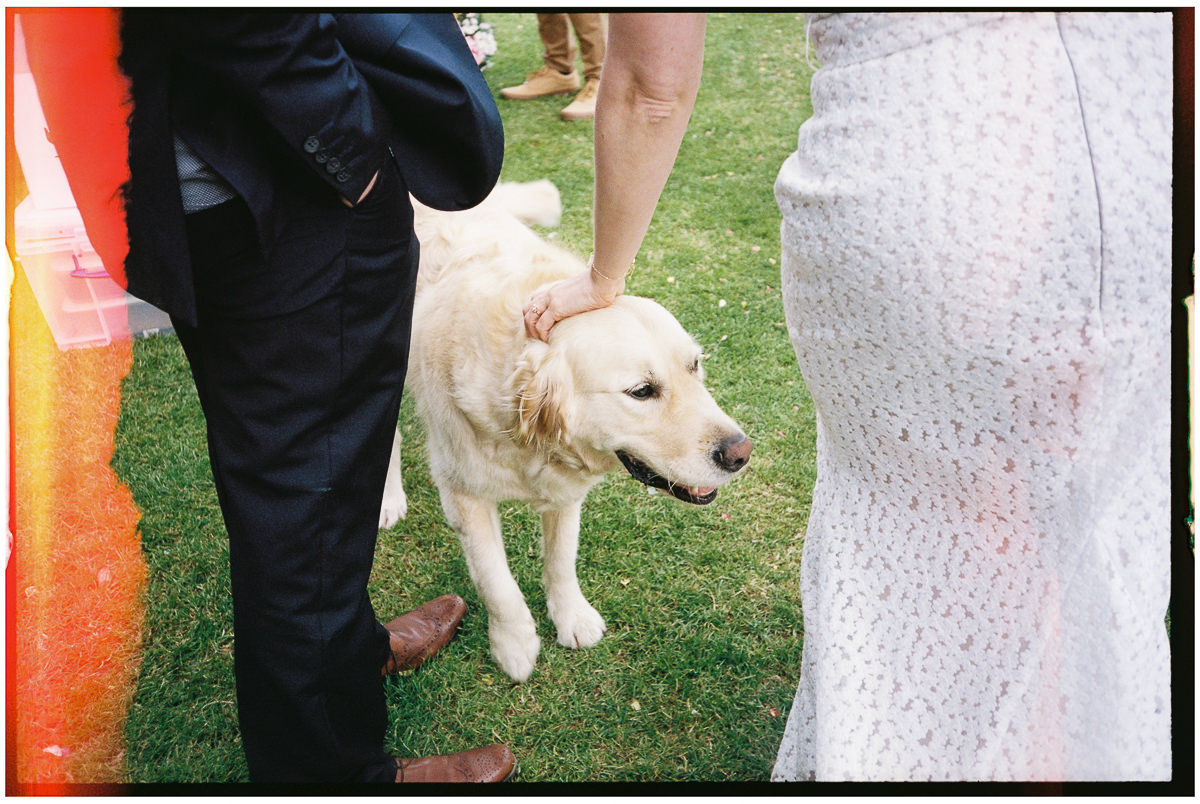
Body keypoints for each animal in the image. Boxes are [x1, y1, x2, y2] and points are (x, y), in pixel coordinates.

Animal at [379, 181, 748, 681]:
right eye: (642, 391)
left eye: (694, 366)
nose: (740, 453)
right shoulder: (463, 494)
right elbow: (496, 581)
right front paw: (514, 644)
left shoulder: (565, 491)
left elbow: (561, 559)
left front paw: (571, 617)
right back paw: (389, 499)